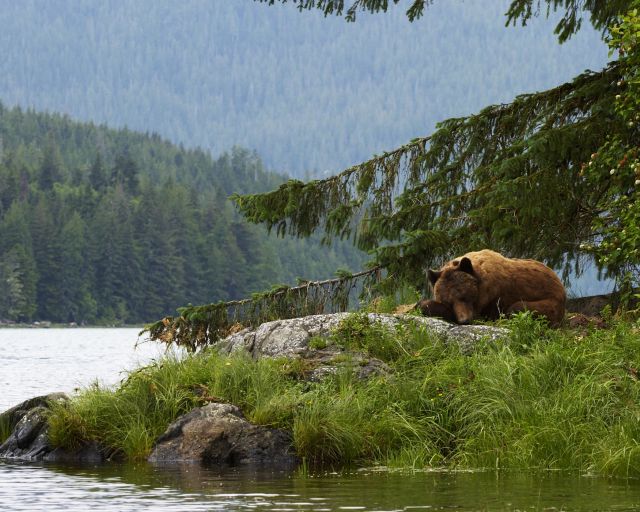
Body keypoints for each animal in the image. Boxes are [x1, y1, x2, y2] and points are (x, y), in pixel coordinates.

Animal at [420, 250, 564, 326]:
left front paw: (423, 305)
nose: (464, 320)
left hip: (551, 303)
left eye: (464, 296)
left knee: (518, 307)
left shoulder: (491, 298)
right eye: (448, 302)